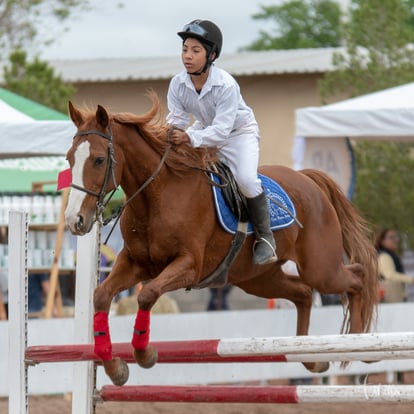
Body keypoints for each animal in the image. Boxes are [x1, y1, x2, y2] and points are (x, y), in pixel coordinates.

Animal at [64, 92, 378, 386]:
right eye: (69, 158)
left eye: (99, 159)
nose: (74, 221)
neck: (156, 197)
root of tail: (309, 179)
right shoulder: (135, 264)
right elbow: (101, 295)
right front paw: (115, 367)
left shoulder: (189, 266)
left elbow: (147, 294)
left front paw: (145, 353)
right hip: (258, 278)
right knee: (303, 293)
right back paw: (310, 357)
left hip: (320, 268)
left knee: (356, 276)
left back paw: (360, 346)